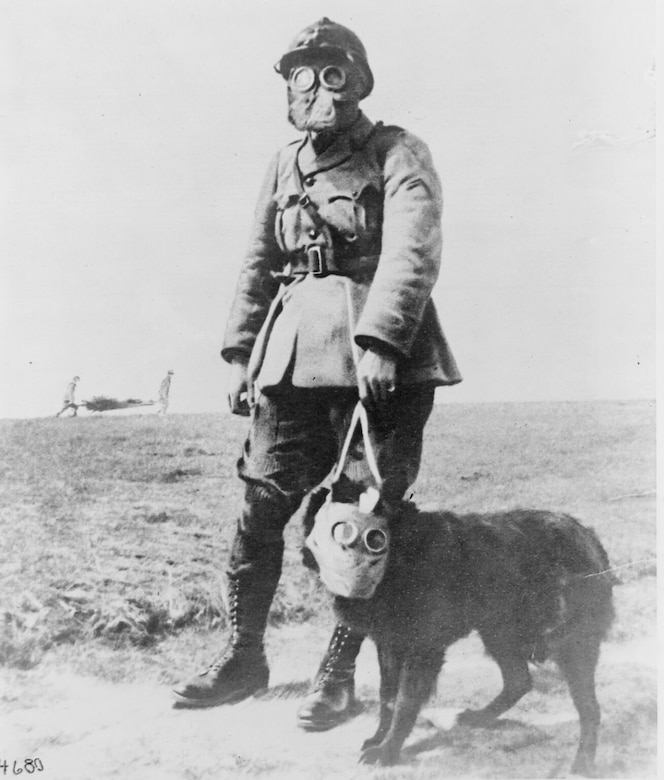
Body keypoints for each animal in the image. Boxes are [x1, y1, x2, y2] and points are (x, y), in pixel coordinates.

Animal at [300, 490, 616, 776]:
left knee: (589, 709)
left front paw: (388, 751)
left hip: (570, 644)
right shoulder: (390, 645)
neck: (399, 558)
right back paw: (480, 717)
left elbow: (404, 703)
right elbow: (387, 697)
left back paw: (583, 764)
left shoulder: (422, 651)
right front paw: (380, 739)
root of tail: (589, 538)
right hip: (497, 631)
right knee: (519, 681)